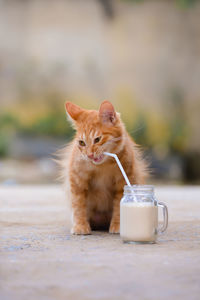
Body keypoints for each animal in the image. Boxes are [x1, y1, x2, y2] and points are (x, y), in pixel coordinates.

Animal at [61, 101, 148, 234]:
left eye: (97, 139)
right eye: (82, 143)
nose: (89, 155)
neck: (102, 166)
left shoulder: (123, 182)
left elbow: (118, 207)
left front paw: (118, 225)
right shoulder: (77, 181)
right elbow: (78, 206)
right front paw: (80, 226)